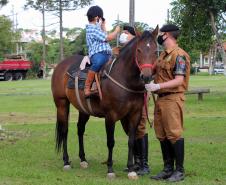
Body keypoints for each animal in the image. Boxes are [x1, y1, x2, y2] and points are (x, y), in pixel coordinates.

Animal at [51, 26, 157, 179]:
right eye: (139, 50)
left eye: (155, 51)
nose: (147, 76)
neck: (124, 79)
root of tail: (60, 66)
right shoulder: (110, 116)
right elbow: (110, 142)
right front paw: (110, 169)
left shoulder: (134, 114)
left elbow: (132, 140)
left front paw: (131, 169)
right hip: (62, 104)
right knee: (64, 130)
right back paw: (66, 161)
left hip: (83, 110)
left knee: (80, 129)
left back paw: (83, 160)